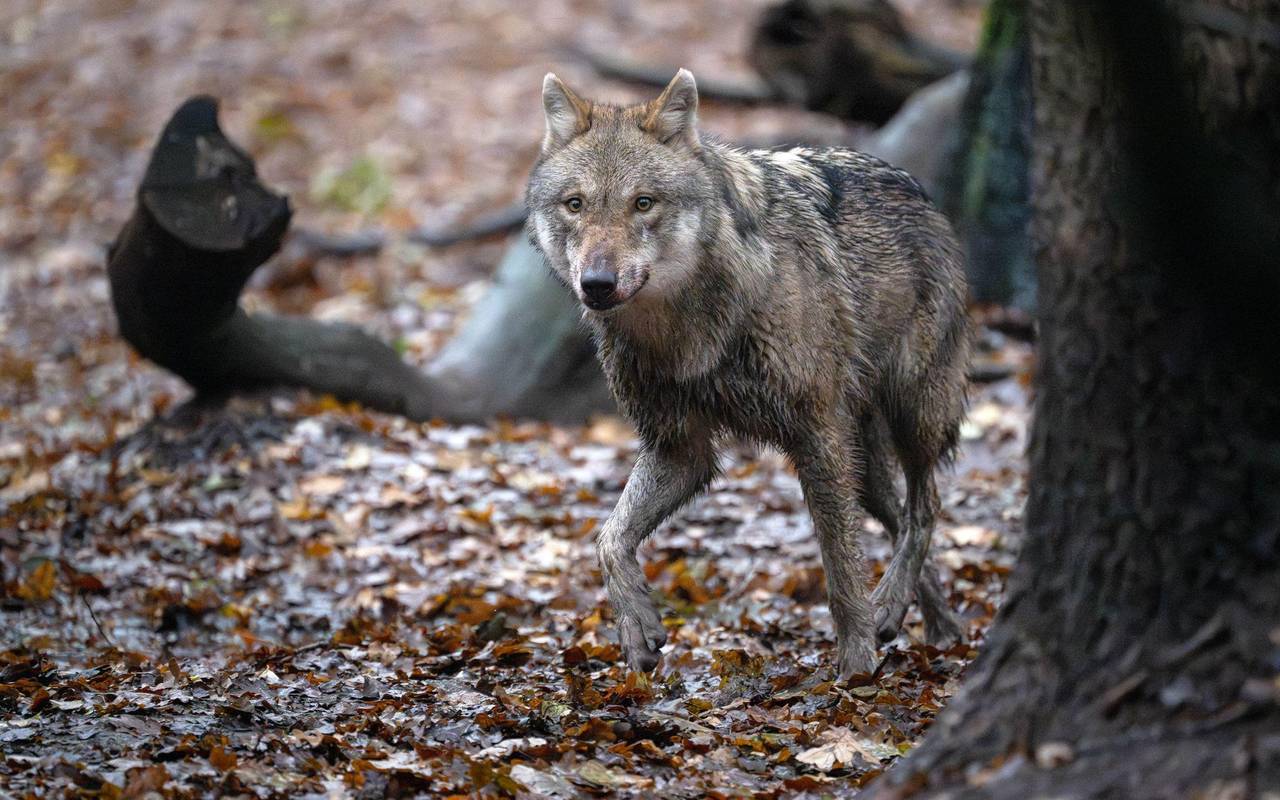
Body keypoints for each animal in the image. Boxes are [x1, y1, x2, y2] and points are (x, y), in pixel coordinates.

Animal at [525, 69, 971, 678]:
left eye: (643, 203)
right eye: (575, 204)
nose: (596, 284)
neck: (685, 330)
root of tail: (922, 193)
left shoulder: (815, 434)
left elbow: (839, 568)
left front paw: (856, 665)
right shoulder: (679, 448)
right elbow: (608, 539)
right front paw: (637, 627)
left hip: (913, 414)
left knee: (926, 508)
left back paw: (892, 609)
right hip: (865, 464)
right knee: (902, 518)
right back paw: (931, 623)